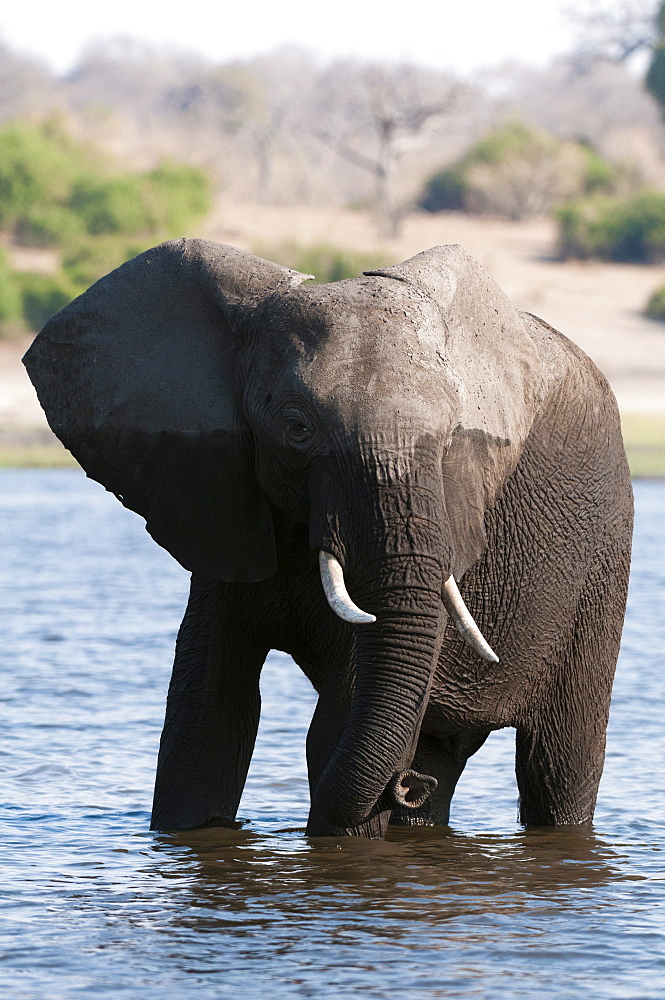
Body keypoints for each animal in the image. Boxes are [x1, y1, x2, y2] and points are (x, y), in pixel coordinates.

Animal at [23, 240, 632, 836]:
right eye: (297, 428)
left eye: (450, 438)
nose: (402, 788)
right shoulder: (224, 506)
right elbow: (204, 720)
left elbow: (331, 726)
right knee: (439, 751)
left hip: (601, 570)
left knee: (559, 763)